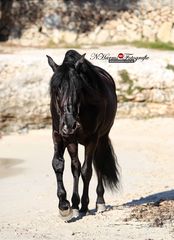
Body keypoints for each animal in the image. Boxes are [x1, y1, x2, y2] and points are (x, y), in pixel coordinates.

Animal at [47, 49, 119, 218]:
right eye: (56, 89)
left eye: (79, 89)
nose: (70, 124)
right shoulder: (61, 136)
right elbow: (61, 165)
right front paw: (65, 205)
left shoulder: (92, 139)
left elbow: (87, 171)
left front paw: (85, 206)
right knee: (77, 167)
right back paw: (75, 204)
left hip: (102, 138)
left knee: (98, 165)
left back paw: (100, 202)